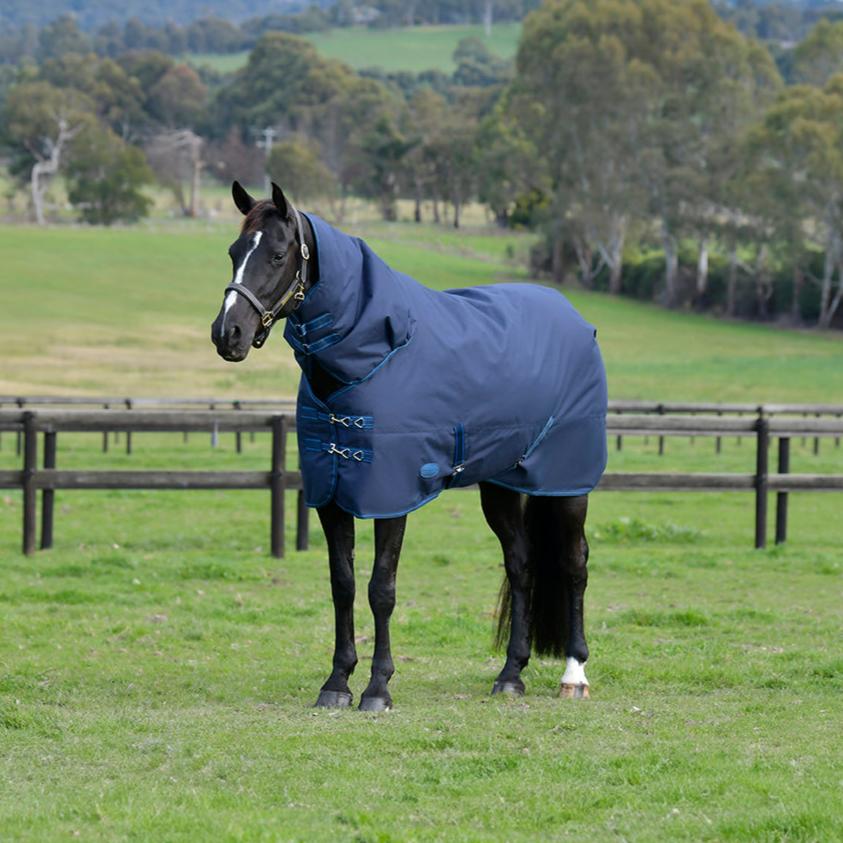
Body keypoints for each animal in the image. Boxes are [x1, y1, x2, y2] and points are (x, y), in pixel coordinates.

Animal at [211, 182, 608, 711]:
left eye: (276, 254)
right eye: (234, 252)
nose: (227, 333)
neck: (373, 355)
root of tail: (575, 318)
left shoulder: (390, 496)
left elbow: (382, 588)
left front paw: (378, 687)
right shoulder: (330, 495)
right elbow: (342, 585)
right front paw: (336, 682)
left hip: (567, 485)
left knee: (573, 564)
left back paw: (574, 674)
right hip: (501, 484)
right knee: (521, 565)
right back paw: (510, 674)